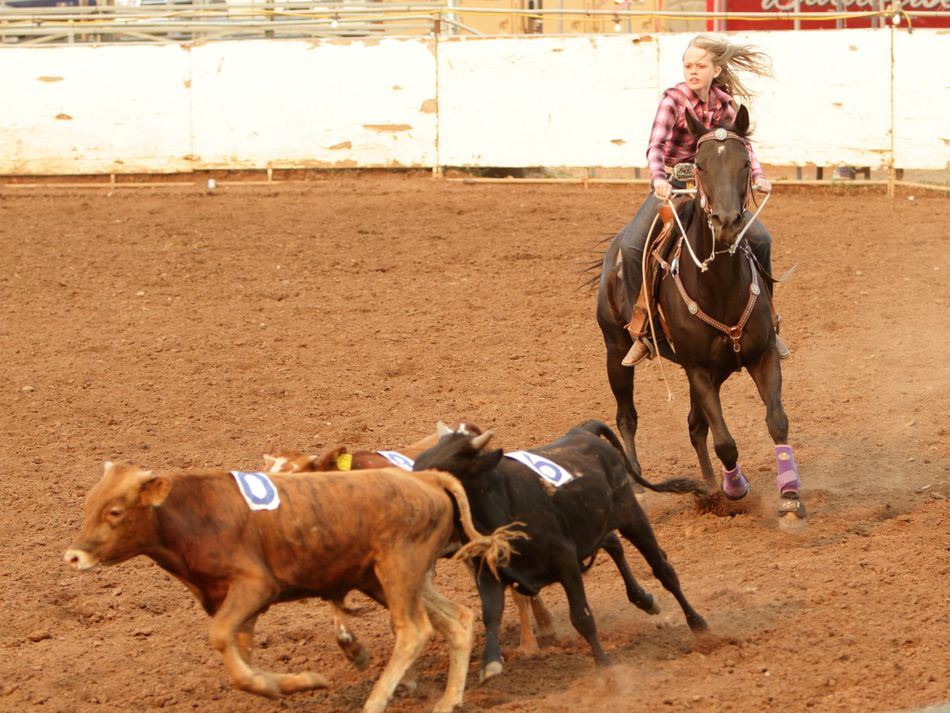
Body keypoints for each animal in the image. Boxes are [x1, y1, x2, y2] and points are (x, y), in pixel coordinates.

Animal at [64, 461, 520, 713]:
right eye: (88, 505)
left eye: (115, 511)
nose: (73, 556)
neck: (189, 514)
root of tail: (426, 478)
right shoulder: (237, 606)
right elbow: (241, 659)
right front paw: (297, 683)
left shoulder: (254, 586)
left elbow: (222, 640)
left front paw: (289, 684)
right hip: (387, 578)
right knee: (457, 619)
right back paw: (448, 700)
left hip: (398, 569)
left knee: (414, 631)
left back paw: (375, 701)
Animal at [412, 420, 711, 680]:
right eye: (417, 464)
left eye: (444, 471)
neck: (503, 502)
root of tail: (584, 430)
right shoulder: (488, 571)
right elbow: (491, 613)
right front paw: (491, 664)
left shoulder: (566, 561)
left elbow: (581, 616)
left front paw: (604, 665)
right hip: (593, 522)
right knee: (614, 544)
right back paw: (644, 599)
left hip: (632, 516)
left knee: (663, 570)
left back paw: (699, 625)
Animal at [594, 105, 806, 531]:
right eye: (701, 165)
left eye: (745, 163)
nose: (726, 222)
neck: (720, 286)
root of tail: (612, 254)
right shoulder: (697, 369)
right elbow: (725, 440)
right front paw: (737, 488)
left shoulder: (761, 356)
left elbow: (776, 420)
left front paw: (789, 499)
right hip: (615, 348)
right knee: (627, 416)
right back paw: (641, 489)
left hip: (719, 369)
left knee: (695, 426)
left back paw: (709, 488)